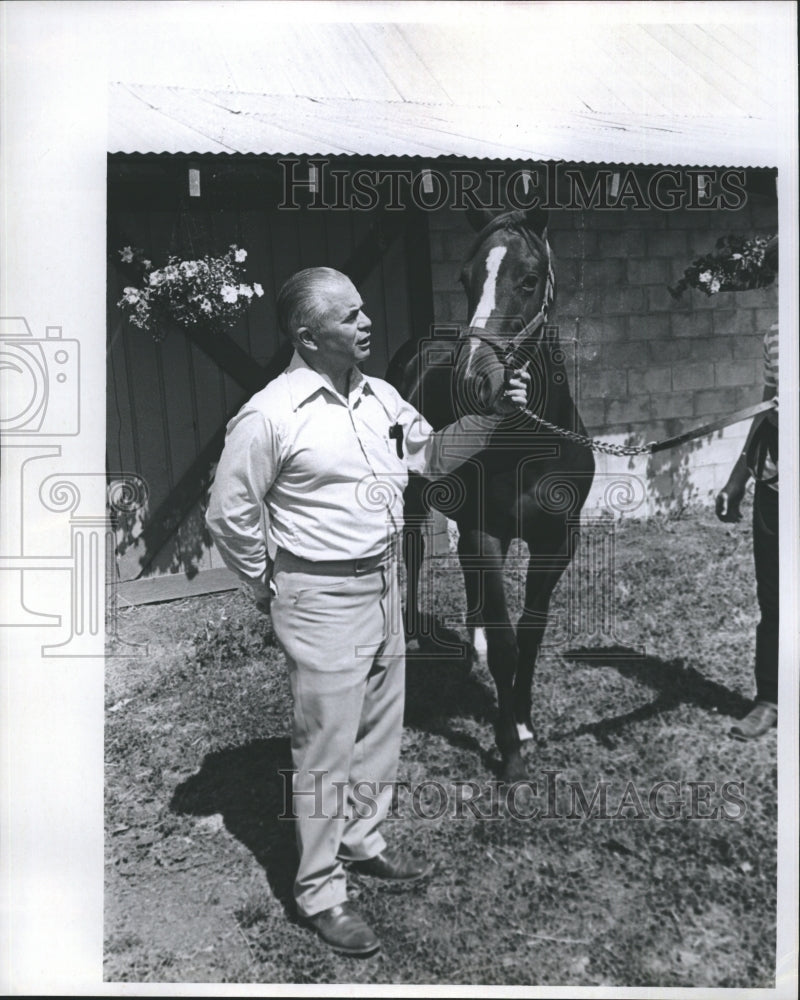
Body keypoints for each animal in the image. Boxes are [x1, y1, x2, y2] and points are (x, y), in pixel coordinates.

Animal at [388, 205, 592, 780]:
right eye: (465, 279)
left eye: (529, 279)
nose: (475, 376)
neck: (530, 442)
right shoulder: (487, 532)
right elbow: (506, 645)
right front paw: (510, 752)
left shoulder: (556, 542)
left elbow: (529, 636)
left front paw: (523, 722)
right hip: (416, 500)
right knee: (415, 551)